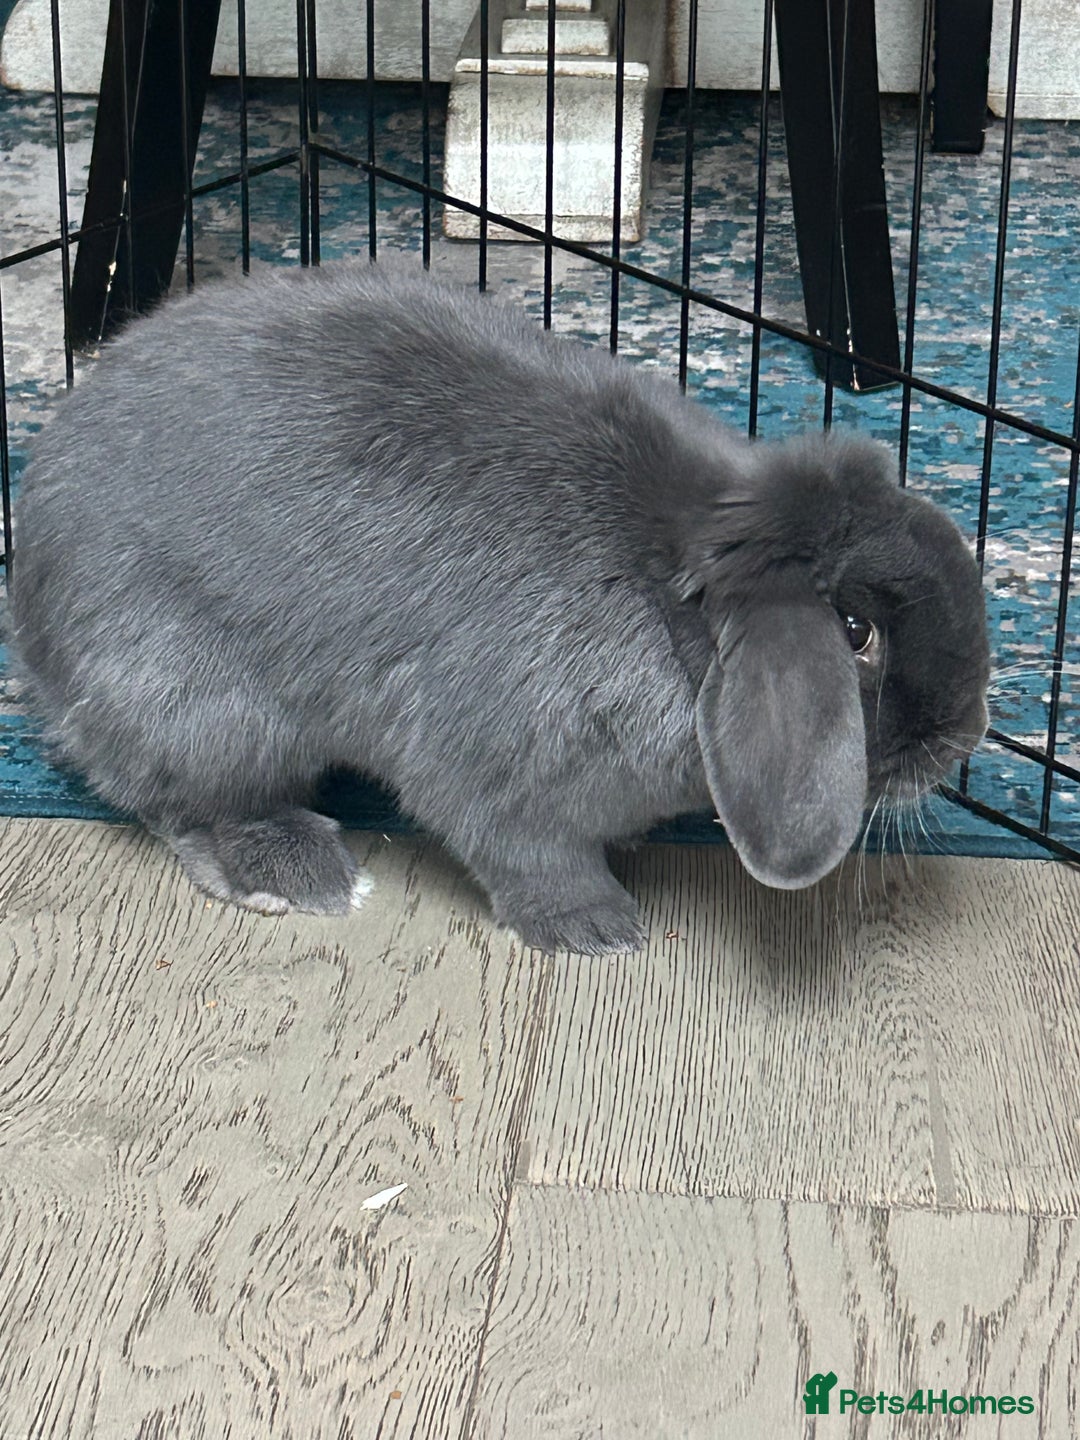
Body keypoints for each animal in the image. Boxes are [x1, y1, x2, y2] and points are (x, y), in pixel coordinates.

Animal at [7, 258, 990, 955]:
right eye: (857, 633)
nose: (964, 734)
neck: (670, 599)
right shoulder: (494, 768)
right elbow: (525, 850)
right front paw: (598, 930)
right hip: (205, 706)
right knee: (188, 802)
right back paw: (302, 872)